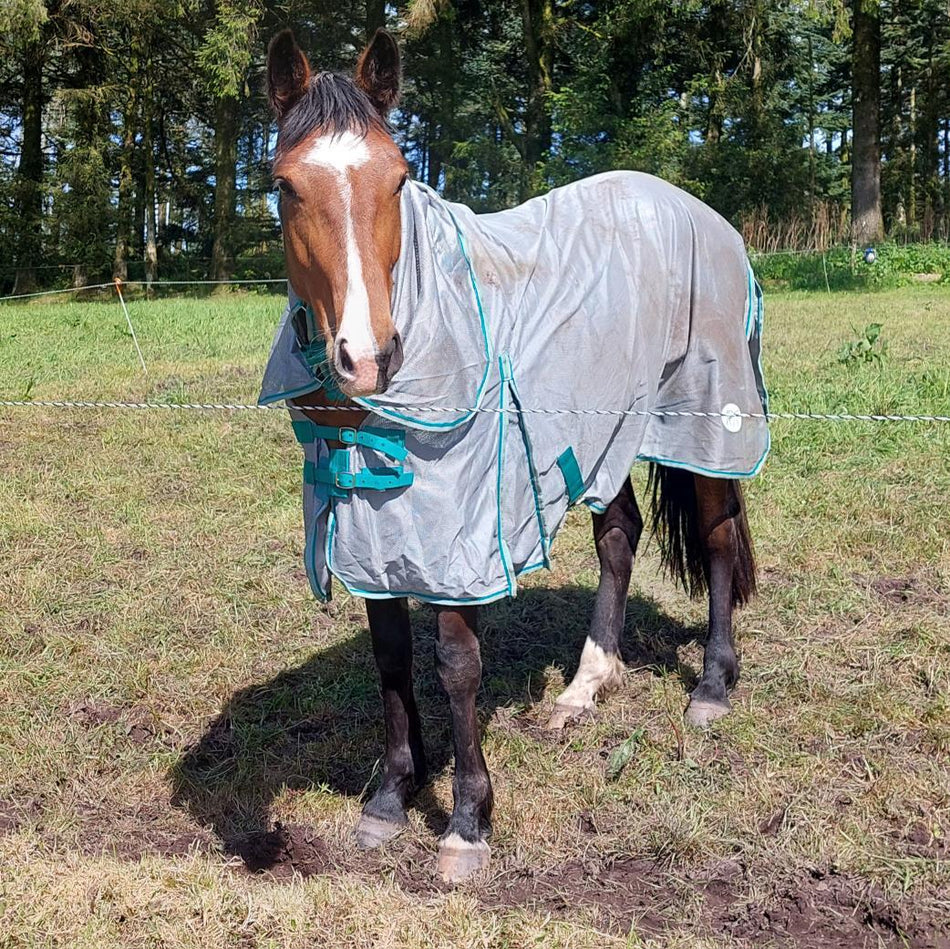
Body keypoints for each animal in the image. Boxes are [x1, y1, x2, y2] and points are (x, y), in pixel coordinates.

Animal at [263, 27, 767, 883]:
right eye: (286, 185)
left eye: (399, 178)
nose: (368, 356)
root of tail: (700, 213)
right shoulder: (374, 529)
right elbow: (390, 656)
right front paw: (390, 799)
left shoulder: (456, 532)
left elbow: (455, 663)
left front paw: (468, 822)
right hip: (603, 431)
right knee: (618, 536)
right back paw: (582, 688)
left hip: (702, 417)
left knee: (719, 536)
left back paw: (710, 688)